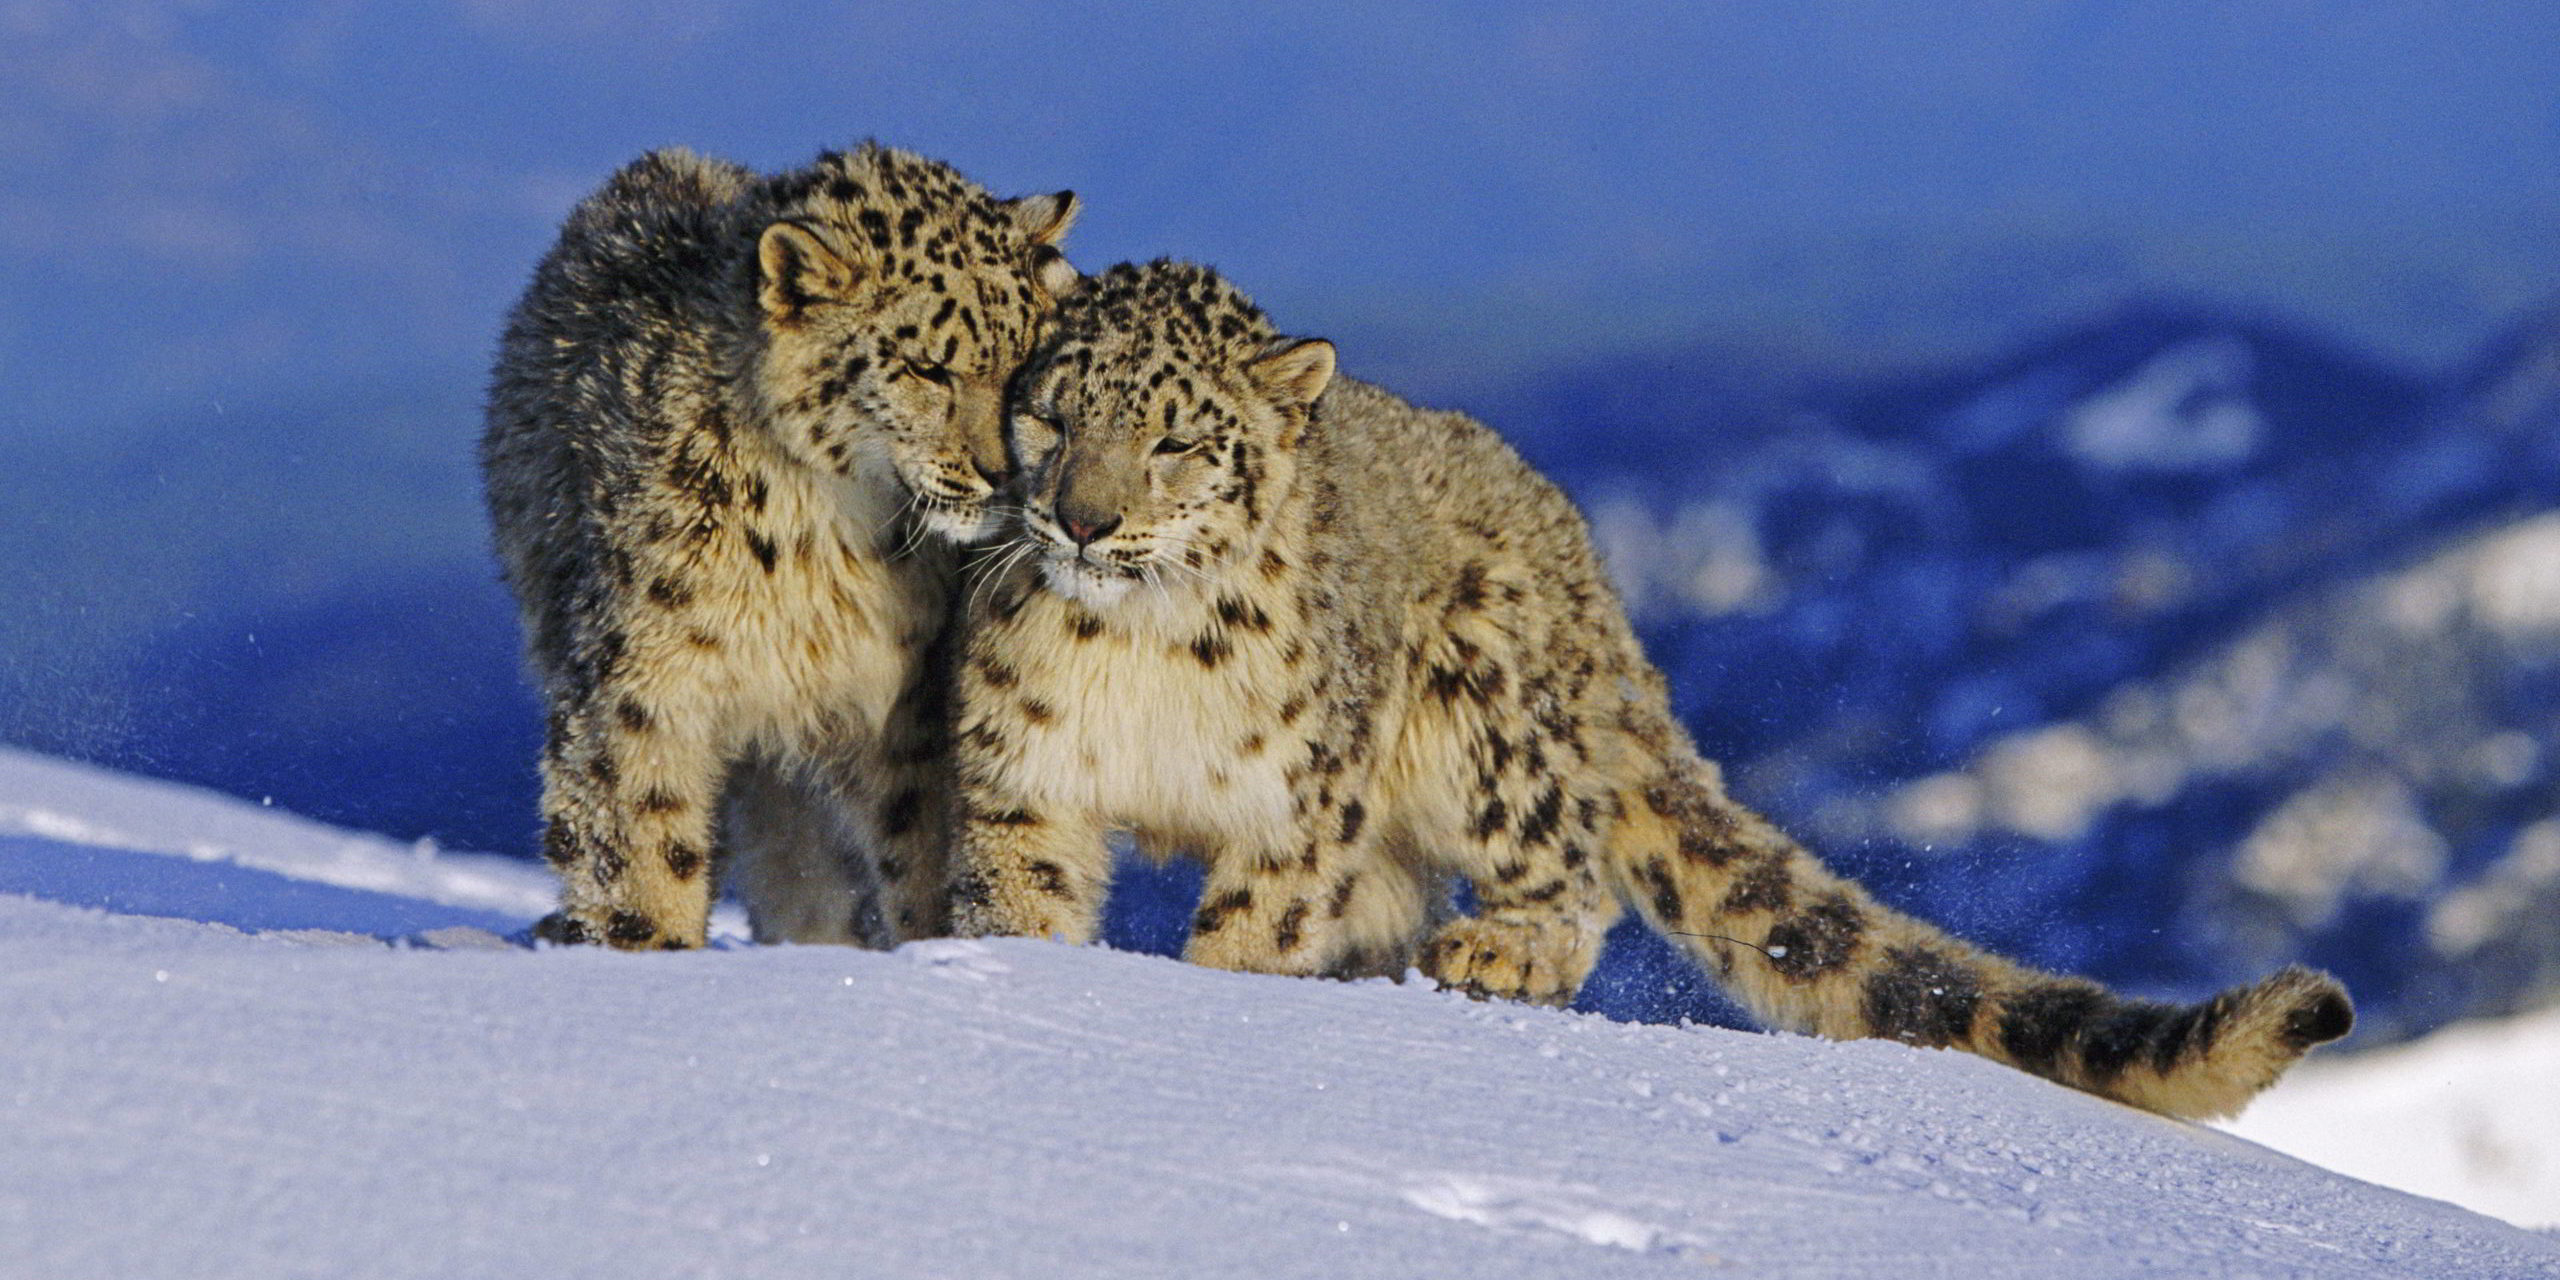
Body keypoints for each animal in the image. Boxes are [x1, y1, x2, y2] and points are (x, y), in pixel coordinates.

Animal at [483, 147, 1075, 952]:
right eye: (925, 367)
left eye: (1028, 364)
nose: (1004, 472)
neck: (823, 536)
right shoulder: (642, 678)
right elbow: (641, 835)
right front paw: (651, 945)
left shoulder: (898, 702)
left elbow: (917, 847)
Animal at [947, 262, 2355, 1121]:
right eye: (1051, 414)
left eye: (1177, 439)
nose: (1080, 518)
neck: (1137, 651)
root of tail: (1592, 577)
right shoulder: (1021, 776)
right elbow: (1020, 901)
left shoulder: (1293, 812)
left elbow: (1254, 931)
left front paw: (1221, 1004)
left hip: (1488, 708)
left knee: (1566, 875)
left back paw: (1499, 949)